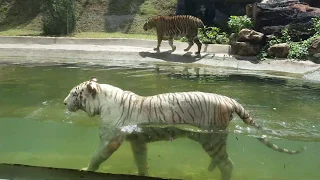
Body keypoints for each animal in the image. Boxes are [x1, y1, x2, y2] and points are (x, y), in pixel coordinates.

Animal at [62, 77, 304, 180]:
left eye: (74, 94)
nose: (64, 103)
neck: (103, 102)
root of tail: (228, 99)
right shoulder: (138, 142)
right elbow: (141, 162)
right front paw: (144, 173)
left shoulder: (111, 138)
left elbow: (98, 156)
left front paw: (85, 169)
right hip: (209, 139)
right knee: (222, 161)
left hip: (211, 138)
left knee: (228, 164)